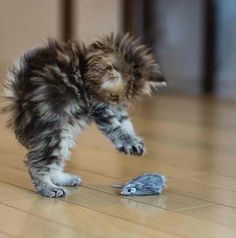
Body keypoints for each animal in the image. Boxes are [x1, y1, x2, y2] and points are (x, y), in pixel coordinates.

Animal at [1, 33, 166, 197]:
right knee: (36, 163)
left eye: (126, 99)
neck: (86, 70)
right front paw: (130, 141)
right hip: (53, 132)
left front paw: (135, 140)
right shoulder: (99, 107)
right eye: (113, 97)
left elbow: (126, 123)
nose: (117, 103)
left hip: (64, 133)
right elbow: (116, 128)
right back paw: (49, 188)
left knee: (54, 161)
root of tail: (20, 97)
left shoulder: (118, 111)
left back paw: (62, 179)